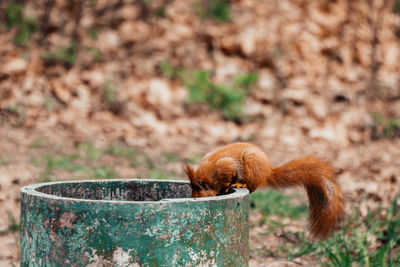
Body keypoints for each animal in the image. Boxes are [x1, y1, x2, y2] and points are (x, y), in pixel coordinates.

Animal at [186, 143, 346, 240]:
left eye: (199, 194)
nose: (194, 199)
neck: (209, 177)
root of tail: (268, 171)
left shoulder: (225, 167)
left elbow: (228, 177)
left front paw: (225, 188)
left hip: (251, 163)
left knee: (252, 186)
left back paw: (239, 184)